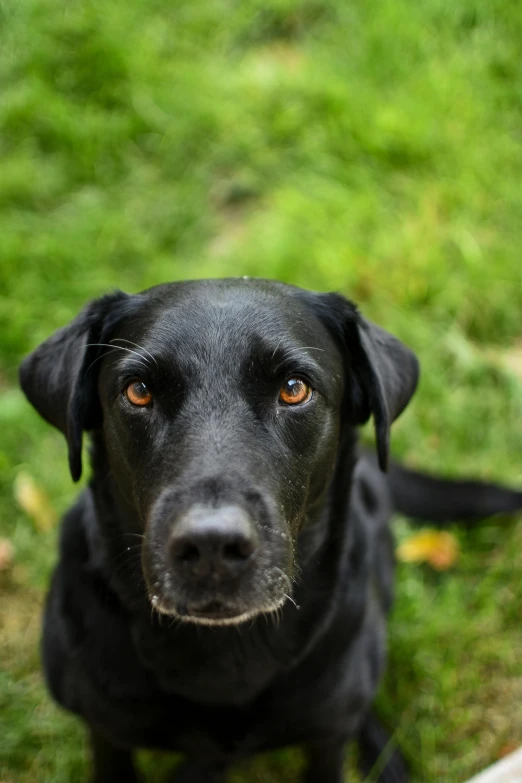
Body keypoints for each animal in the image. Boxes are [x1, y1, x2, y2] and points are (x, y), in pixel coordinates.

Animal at [19, 282, 520, 783]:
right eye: (138, 392)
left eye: (294, 389)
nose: (212, 546)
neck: (224, 655)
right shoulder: (105, 729)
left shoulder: (327, 735)